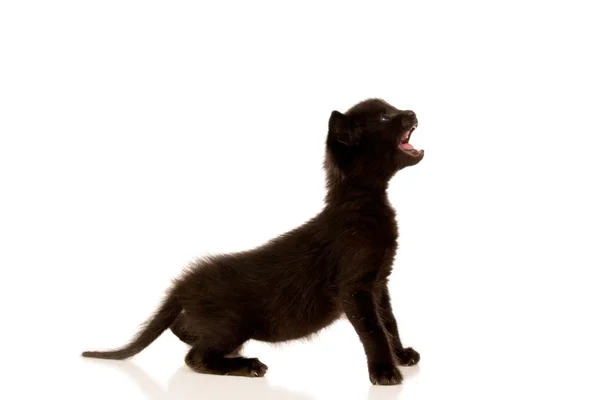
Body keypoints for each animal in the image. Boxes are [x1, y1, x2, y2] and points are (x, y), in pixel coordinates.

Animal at [82, 97, 424, 384]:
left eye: (392, 108)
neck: (362, 204)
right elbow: (373, 329)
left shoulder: (379, 282)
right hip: (231, 324)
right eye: (385, 117)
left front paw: (401, 354)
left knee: (183, 330)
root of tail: (184, 283)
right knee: (195, 357)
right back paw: (247, 365)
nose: (411, 112)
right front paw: (385, 372)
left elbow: (389, 321)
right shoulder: (355, 286)